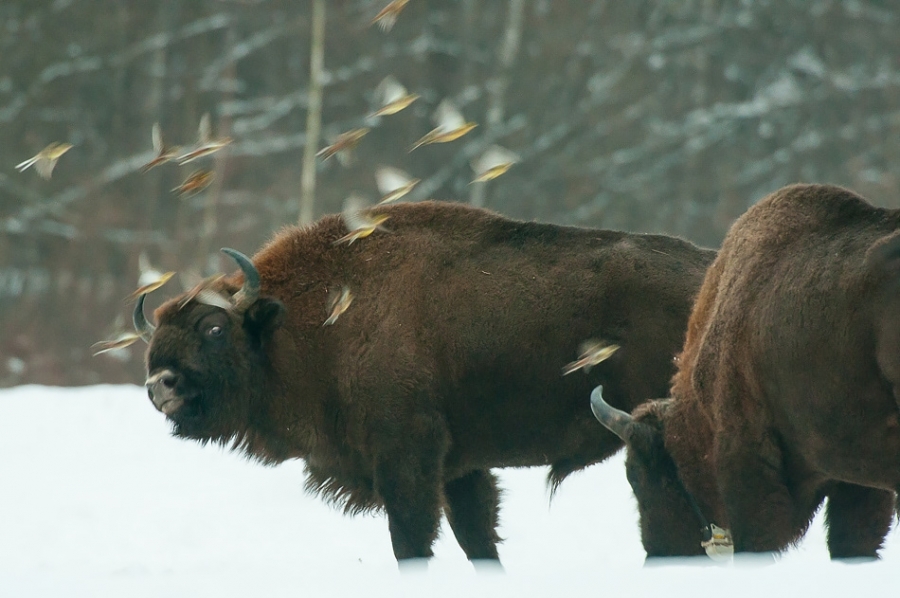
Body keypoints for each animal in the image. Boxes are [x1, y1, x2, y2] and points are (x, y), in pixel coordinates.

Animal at [134, 200, 714, 564]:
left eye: (214, 327)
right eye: (156, 335)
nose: (160, 383)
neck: (299, 320)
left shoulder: (407, 458)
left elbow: (413, 543)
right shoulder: (461, 469)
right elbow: (478, 540)